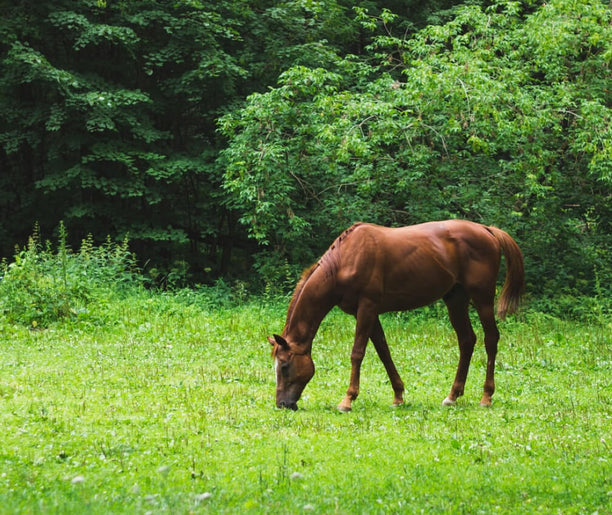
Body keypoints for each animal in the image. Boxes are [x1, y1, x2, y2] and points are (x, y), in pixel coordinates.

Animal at [268, 220, 524, 414]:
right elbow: (384, 352)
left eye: (285, 366)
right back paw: (452, 395)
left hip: (482, 298)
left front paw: (347, 400)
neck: (344, 260)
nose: (282, 404)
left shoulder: (367, 308)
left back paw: (486, 396)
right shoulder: (368, 313)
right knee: (467, 340)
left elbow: (357, 353)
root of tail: (487, 230)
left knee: (491, 339)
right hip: (455, 299)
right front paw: (398, 395)